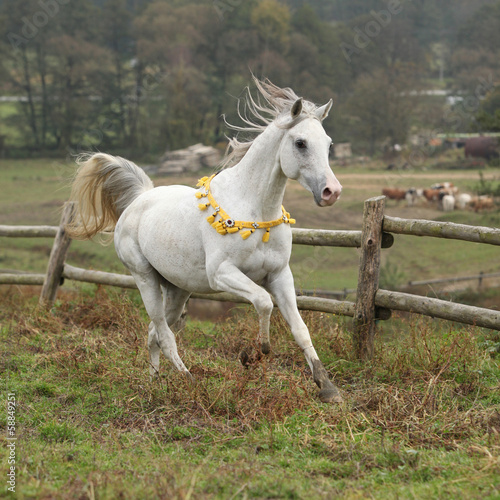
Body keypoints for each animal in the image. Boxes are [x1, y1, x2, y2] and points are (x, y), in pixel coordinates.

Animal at [68, 77, 344, 402]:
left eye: (328, 143)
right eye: (300, 143)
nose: (331, 191)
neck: (255, 211)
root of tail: (139, 198)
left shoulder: (279, 275)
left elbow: (300, 329)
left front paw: (327, 387)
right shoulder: (222, 274)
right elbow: (263, 302)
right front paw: (255, 353)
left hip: (177, 290)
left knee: (153, 334)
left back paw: (154, 382)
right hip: (144, 279)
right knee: (164, 334)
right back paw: (189, 381)